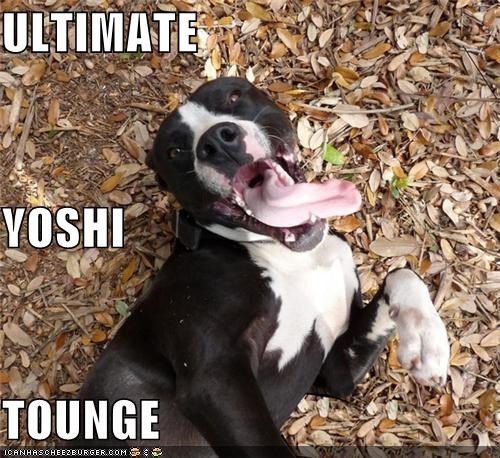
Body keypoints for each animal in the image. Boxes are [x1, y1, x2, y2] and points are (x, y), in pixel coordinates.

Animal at [78, 77, 449, 456]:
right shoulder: (214, 376)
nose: (216, 142)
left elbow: (403, 274)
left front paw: (425, 339)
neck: (287, 255)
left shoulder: (336, 373)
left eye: (233, 96)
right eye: (174, 151)